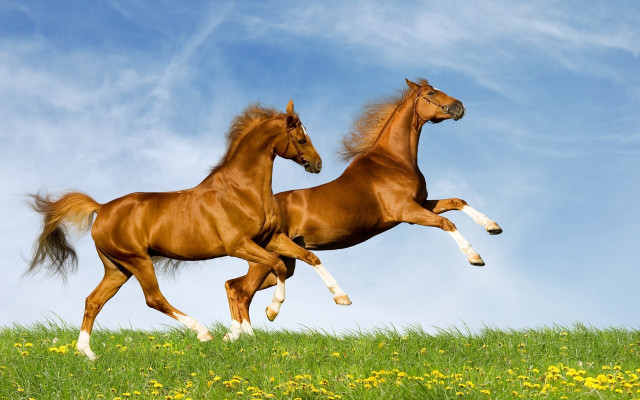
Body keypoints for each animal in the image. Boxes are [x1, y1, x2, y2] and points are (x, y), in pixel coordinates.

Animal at [26, 100, 328, 359]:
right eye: (302, 139)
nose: (317, 164)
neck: (242, 190)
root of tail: (102, 208)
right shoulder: (239, 245)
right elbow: (277, 266)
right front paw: (271, 312)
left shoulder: (270, 239)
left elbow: (308, 257)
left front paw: (337, 297)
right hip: (137, 260)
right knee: (153, 298)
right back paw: (203, 332)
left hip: (117, 268)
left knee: (93, 301)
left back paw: (87, 354)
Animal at [223, 79, 502, 336]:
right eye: (431, 93)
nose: (459, 107)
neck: (393, 161)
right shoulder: (408, 212)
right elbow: (447, 223)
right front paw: (475, 257)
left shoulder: (422, 204)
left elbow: (457, 202)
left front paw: (492, 226)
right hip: (266, 260)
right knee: (241, 291)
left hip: (282, 262)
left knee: (233, 286)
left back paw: (236, 334)